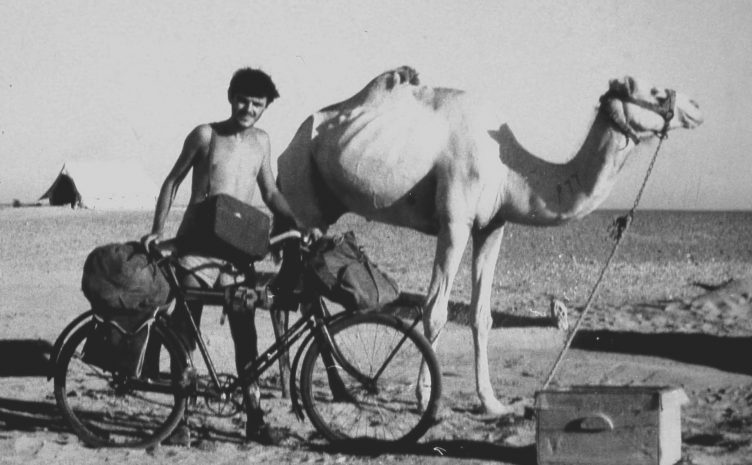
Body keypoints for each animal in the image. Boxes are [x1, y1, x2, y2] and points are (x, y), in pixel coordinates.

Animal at [275, 66, 703, 415]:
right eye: (656, 93)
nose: (697, 106)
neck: (512, 172)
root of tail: (286, 146)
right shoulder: (455, 221)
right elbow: (435, 311)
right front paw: (424, 397)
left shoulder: (493, 225)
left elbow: (482, 316)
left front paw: (492, 403)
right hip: (300, 188)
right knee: (288, 296)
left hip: (317, 208)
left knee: (286, 296)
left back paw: (289, 386)